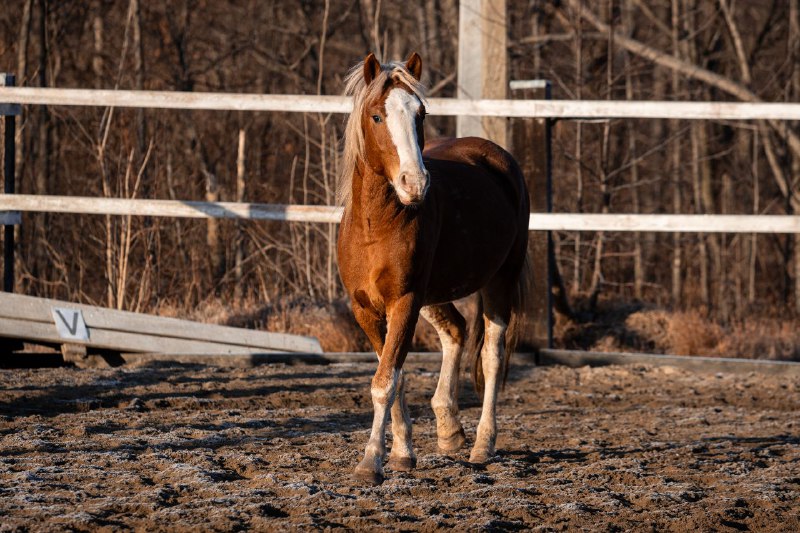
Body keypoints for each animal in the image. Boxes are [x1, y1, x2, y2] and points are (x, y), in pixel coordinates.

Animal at [338, 52, 532, 484]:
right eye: (377, 116)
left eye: (421, 114)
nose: (415, 183)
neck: (376, 225)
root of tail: (496, 156)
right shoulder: (365, 309)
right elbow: (393, 375)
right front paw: (402, 453)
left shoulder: (405, 301)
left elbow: (386, 380)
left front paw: (371, 461)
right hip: (435, 295)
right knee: (456, 331)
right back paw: (448, 429)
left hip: (499, 281)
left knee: (491, 356)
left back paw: (482, 445)